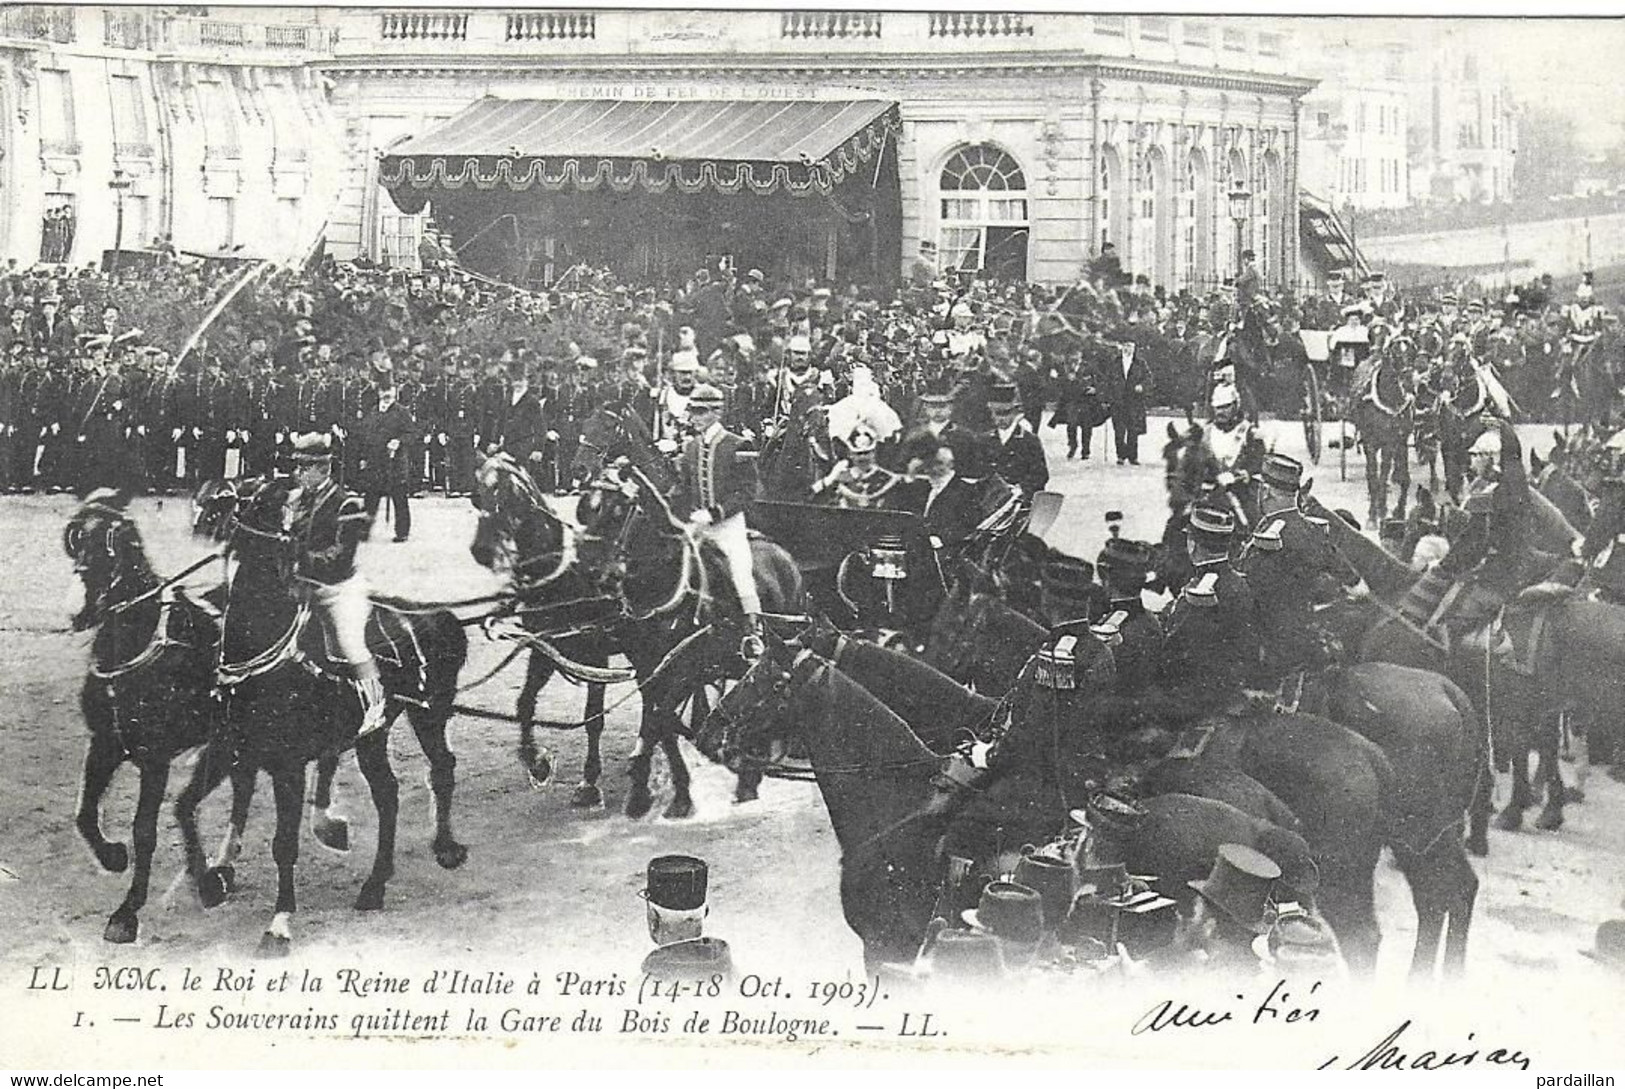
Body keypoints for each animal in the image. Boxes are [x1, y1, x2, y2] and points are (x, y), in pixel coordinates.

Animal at [178, 481, 471, 955]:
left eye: (252, 497)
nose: (203, 510)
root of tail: (432, 613)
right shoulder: (228, 748)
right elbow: (185, 805)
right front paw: (207, 882)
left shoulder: (287, 766)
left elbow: (283, 844)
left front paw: (279, 924)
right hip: (373, 733)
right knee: (388, 794)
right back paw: (375, 885)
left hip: (428, 714)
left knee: (441, 768)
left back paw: (443, 848)